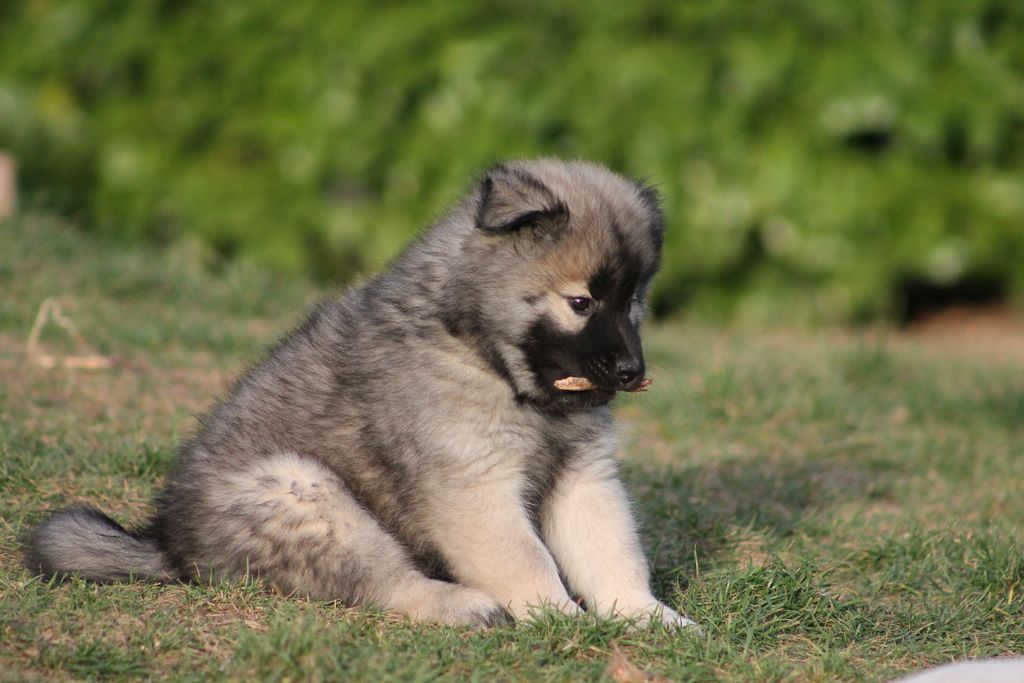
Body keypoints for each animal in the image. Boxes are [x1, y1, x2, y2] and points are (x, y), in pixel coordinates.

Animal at [26, 159, 697, 630]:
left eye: (634, 302)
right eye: (580, 302)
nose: (632, 370)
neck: (483, 355)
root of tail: (171, 547)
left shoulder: (583, 474)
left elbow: (612, 551)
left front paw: (646, 615)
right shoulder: (473, 484)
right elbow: (524, 557)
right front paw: (556, 615)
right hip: (307, 496)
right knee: (388, 583)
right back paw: (464, 605)